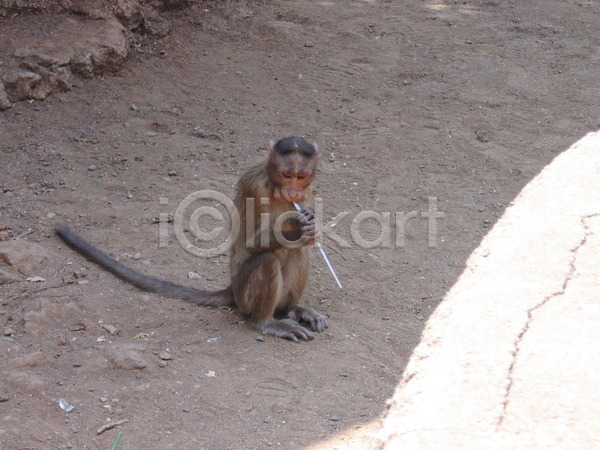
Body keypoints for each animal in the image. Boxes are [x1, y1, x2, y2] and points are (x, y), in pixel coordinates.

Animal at [56, 136, 328, 342]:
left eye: (301, 177)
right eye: (286, 175)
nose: (293, 192)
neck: (274, 185)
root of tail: (232, 288)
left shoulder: (309, 190)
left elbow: (303, 241)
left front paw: (310, 224)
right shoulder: (255, 186)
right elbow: (251, 240)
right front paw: (296, 228)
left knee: (297, 252)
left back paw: (290, 309)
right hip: (244, 293)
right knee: (267, 261)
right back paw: (266, 321)